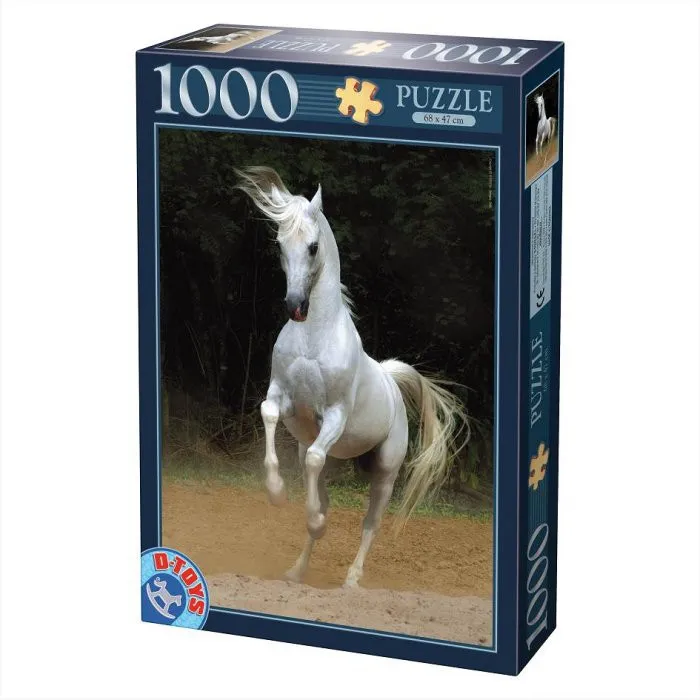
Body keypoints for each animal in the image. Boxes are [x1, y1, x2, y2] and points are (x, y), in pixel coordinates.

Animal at [236, 167, 468, 588]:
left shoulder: (334, 415)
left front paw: (311, 518)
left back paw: (351, 579)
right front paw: (277, 494)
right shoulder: (282, 396)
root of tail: (392, 382)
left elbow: (314, 460)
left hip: (386, 472)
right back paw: (297, 569)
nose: (294, 306)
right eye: (280, 245)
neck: (314, 335)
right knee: (322, 489)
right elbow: (269, 415)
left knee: (370, 523)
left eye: (313, 247)